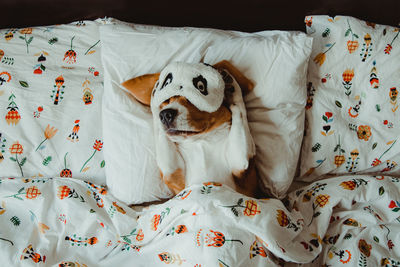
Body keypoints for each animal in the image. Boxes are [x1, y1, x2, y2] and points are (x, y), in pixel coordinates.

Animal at [122, 61, 260, 199]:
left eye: (199, 88)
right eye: (167, 101)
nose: (165, 114)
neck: (201, 141)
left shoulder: (241, 164)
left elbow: (239, 109)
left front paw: (233, 88)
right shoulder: (174, 176)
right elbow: (160, 133)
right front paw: (155, 93)